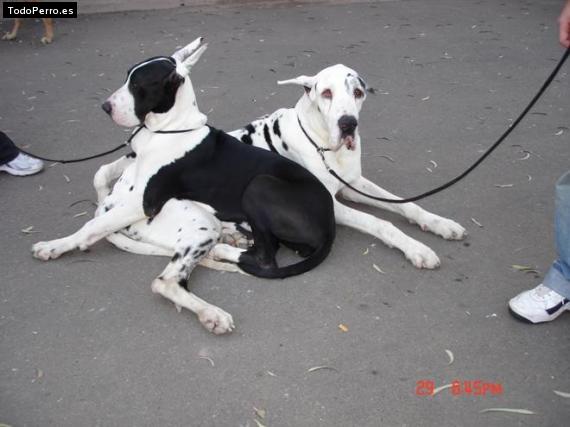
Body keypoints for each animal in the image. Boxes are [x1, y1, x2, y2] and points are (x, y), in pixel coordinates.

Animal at [31, 37, 336, 334]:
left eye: (137, 85)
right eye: (126, 77)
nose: (106, 107)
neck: (167, 129)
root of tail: (330, 223)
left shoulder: (144, 201)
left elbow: (92, 224)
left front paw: (54, 246)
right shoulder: (131, 166)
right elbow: (101, 178)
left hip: (256, 187)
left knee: (194, 275)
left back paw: (213, 304)